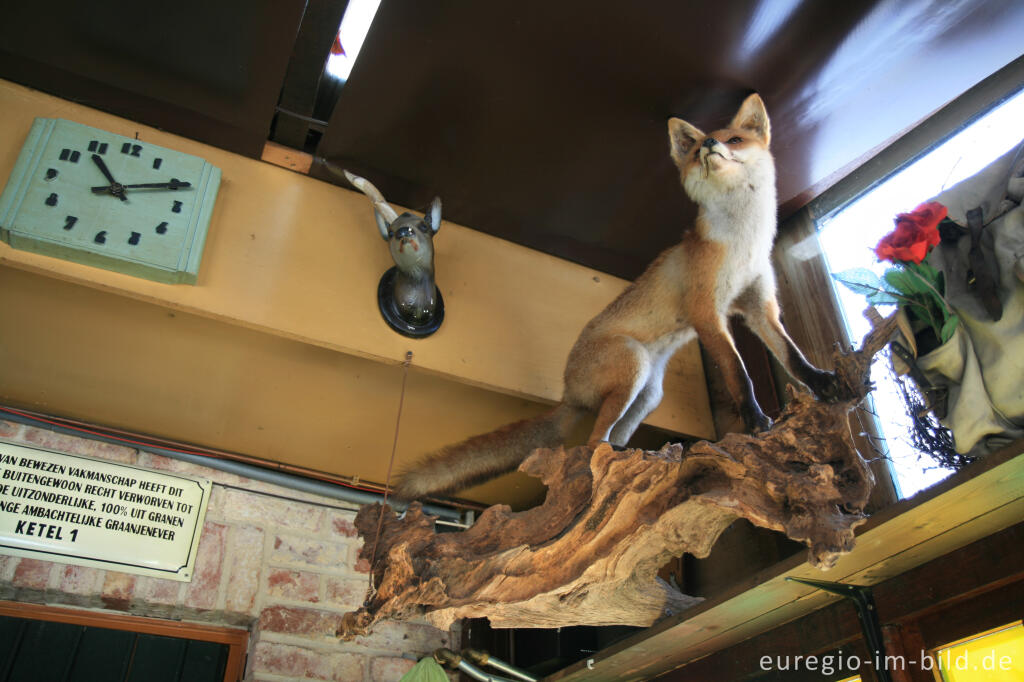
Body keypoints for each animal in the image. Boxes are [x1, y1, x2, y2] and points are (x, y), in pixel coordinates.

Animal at [393, 93, 839, 499]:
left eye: (734, 139)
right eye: (697, 149)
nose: (710, 144)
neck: (742, 242)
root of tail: (568, 391)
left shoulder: (759, 304)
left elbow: (792, 356)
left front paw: (822, 383)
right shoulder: (706, 311)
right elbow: (738, 372)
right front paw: (755, 419)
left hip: (648, 394)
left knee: (611, 436)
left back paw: (633, 458)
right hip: (632, 363)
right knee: (593, 440)